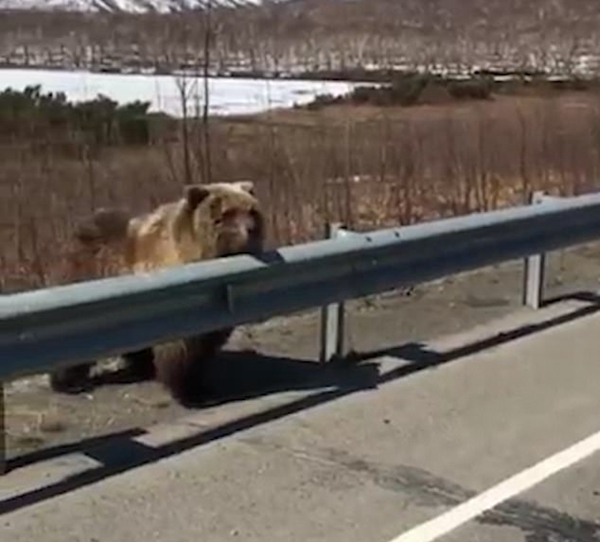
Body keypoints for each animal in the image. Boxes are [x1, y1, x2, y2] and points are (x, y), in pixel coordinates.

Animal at [50, 183, 266, 408]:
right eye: (227, 212)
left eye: (252, 210)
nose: (250, 229)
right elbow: (180, 351)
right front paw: (189, 392)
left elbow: (204, 347)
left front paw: (202, 386)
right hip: (83, 276)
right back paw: (69, 383)